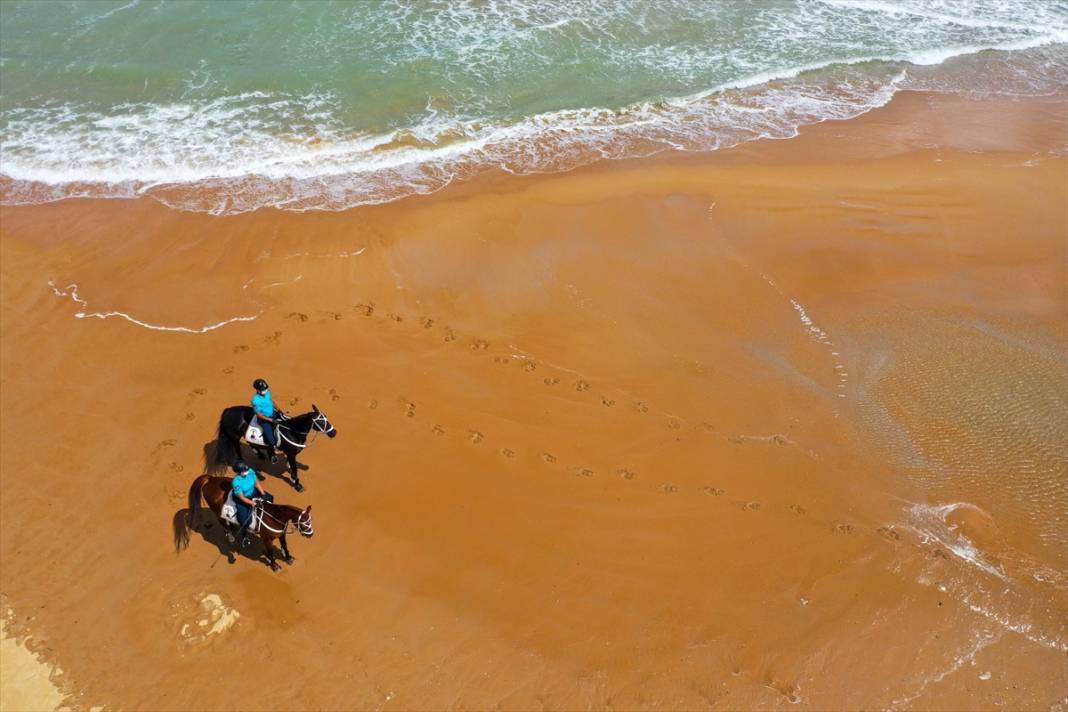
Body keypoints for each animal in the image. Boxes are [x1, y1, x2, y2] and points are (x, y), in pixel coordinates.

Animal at [178, 476, 311, 572]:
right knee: (224, 525)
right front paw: (274, 565)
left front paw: (288, 558)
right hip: (217, 512)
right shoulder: (267, 539)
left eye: (311, 521)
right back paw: (231, 537)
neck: (272, 516)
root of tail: (210, 479)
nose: (311, 534)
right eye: (304, 523)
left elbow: (284, 546)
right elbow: (271, 552)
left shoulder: (281, 534)